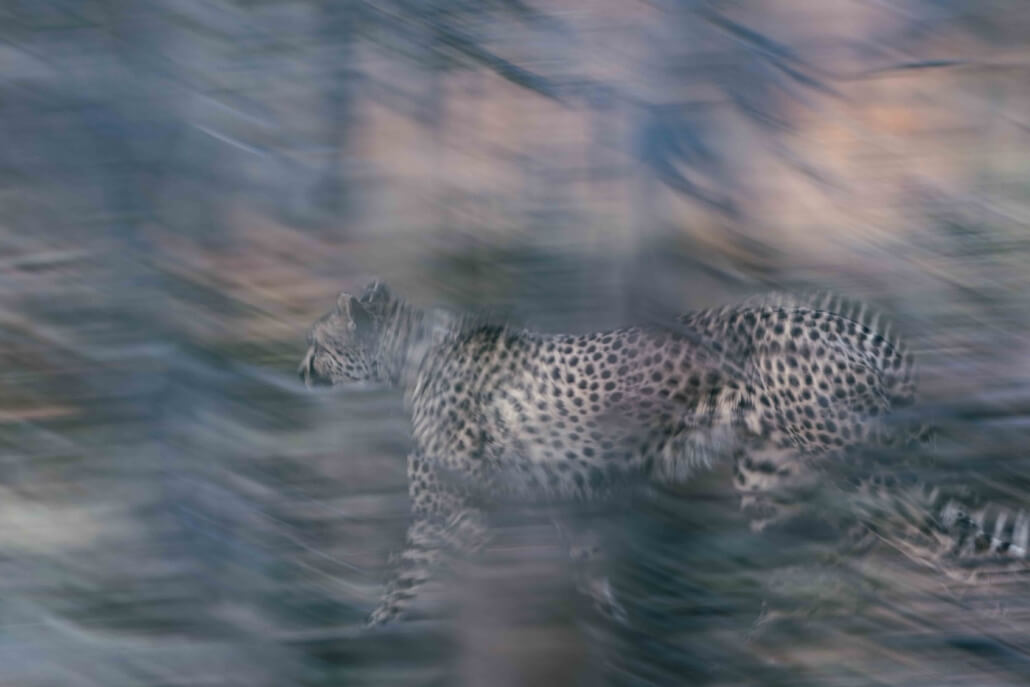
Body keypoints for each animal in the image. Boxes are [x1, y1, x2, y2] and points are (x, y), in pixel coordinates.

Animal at [299, 281, 1025, 627]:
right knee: (840, 547)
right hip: (770, 472)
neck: (409, 354)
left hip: (846, 461)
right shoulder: (565, 490)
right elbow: (587, 563)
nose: (298, 368)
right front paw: (614, 624)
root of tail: (849, 320)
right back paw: (783, 628)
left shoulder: (452, 503)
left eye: (316, 341)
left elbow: (412, 572)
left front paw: (378, 629)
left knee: (916, 530)